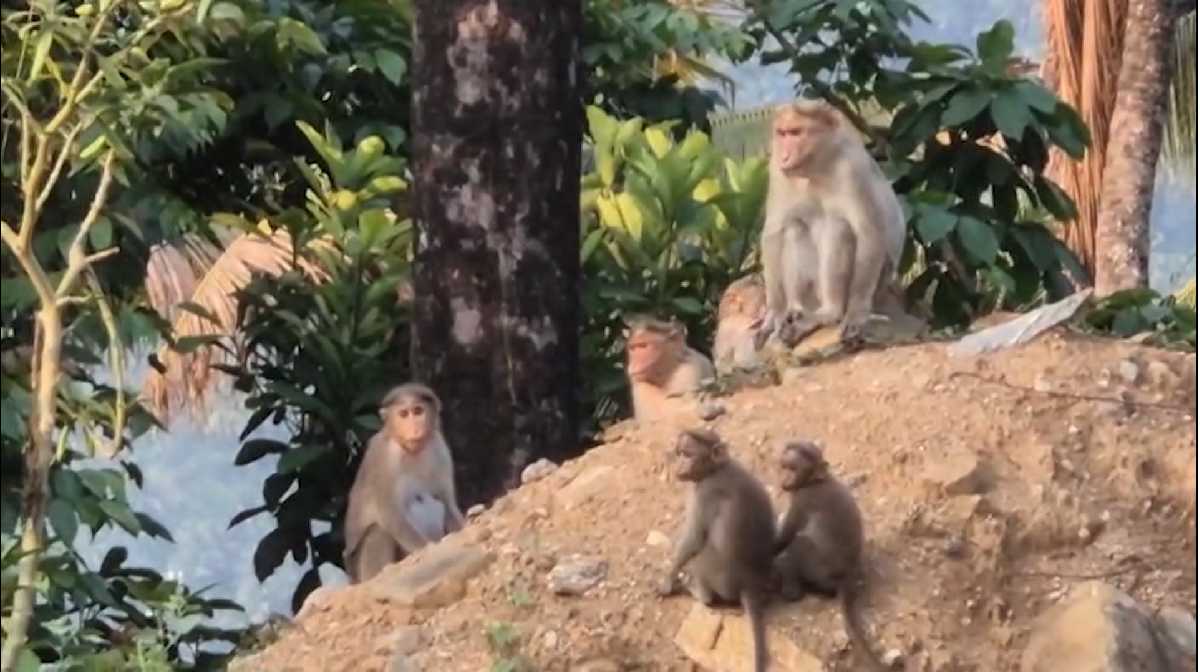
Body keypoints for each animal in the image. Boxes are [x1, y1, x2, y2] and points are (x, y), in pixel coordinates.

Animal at [342, 383, 466, 583]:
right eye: (403, 414)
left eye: (418, 411)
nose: (414, 429)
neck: (412, 451)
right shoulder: (384, 456)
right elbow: (391, 515)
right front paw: (428, 548)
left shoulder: (439, 448)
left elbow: (447, 504)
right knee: (378, 532)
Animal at [658, 428, 776, 672]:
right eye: (679, 453)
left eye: (688, 454)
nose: (679, 465)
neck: (716, 468)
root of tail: (750, 584)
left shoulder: (704, 493)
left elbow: (693, 539)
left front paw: (667, 579)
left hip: (720, 578)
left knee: (699, 559)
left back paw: (700, 594)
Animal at [756, 100, 909, 349]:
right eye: (782, 133)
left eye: (796, 133)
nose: (786, 155)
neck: (818, 162)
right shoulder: (776, 168)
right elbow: (774, 231)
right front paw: (774, 315)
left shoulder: (852, 168)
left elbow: (868, 233)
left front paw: (856, 314)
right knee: (794, 228)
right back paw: (795, 311)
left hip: (877, 283)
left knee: (839, 227)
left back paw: (830, 311)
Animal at [772, 440, 888, 671]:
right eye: (784, 466)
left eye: (793, 469)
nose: (784, 480)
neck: (813, 481)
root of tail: (847, 578)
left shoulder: (803, 499)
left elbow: (787, 535)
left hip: (818, 568)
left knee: (800, 543)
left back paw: (796, 591)